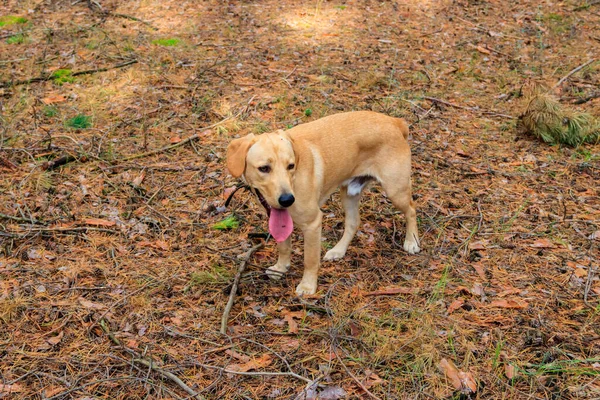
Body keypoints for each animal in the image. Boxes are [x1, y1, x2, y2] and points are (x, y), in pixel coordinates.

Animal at [227, 111, 420, 296]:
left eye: (291, 166)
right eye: (264, 168)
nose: (287, 200)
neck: (294, 182)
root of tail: (395, 122)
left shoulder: (312, 223)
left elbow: (310, 260)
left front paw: (308, 286)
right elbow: (284, 247)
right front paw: (281, 268)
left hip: (395, 190)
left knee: (411, 210)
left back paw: (412, 241)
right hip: (349, 193)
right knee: (353, 223)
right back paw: (338, 251)